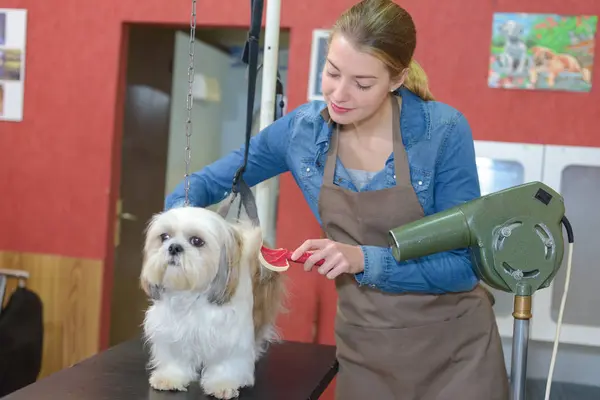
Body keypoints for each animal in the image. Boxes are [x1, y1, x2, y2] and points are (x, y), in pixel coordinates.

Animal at [139, 205, 284, 398]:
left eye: (197, 241)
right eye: (164, 237)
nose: (174, 247)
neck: (192, 297)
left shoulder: (231, 337)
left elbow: (226, 364)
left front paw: (223, 383)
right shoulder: (172, 331)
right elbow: (176, 356)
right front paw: (170, 377)